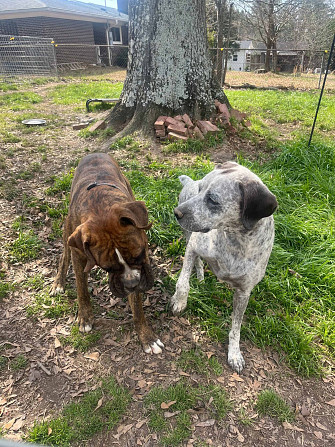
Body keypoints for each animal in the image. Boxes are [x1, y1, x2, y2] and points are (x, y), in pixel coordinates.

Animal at [50, 152, 164, 356]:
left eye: (140, 255)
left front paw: (147, 337)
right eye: (108, 268)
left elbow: (137, 307)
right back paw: (58, 283)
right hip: (67, 231)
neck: (99, 207)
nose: (131, 284)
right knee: (64, 255)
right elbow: (81, 288)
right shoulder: (79, 255)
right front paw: (85, 316)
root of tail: (94, 153)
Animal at [171, 163, 278, 372]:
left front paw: (234, 354)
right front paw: (179, 301)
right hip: (189, 237)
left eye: (213, 200)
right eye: (200, 189)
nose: (176, 212)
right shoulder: (193, 246)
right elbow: (182, 283)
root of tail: (189, 182)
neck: (234, 241)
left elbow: (236, 328)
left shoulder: (244, 292)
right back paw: (200, 278)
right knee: (197, 263)